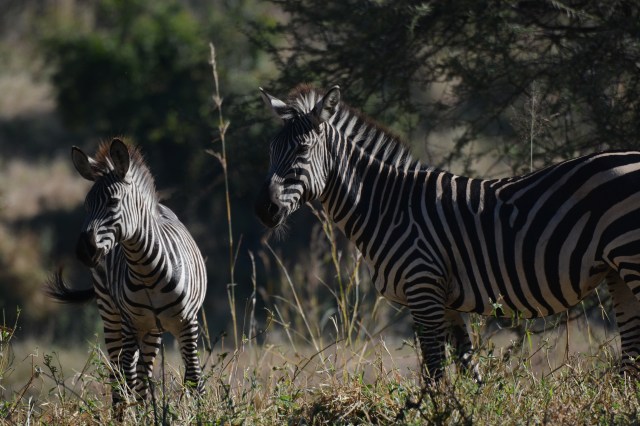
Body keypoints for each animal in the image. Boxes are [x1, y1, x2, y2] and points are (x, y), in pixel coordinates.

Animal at [46, 138, 207, 408]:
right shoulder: (131, 324)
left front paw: (202, 412)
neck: (146, 270)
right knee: (120, 375)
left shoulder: (188, 324)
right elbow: (125, 382)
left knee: (143, 375)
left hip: (152, 330)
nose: (83, 251)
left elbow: (194, 378)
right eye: (86, 205)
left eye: (113, 202)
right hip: (113, 317)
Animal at [255, 84, 640, 381]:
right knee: (630, 362)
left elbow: (435, 374)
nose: (264, 211)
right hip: (616, 271)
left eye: (303, 149)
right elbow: (468, 371)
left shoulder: (423, 287)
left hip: (632, 259)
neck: (387, 207)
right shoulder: (446, 299)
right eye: (270, 151)